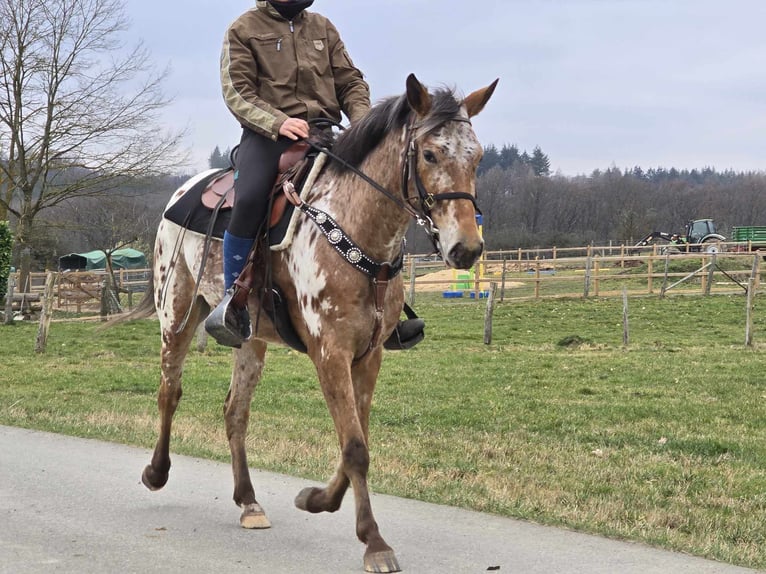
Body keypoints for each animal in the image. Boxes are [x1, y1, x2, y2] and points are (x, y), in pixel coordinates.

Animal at [136, 74, 498, 572]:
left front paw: (315, 499)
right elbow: (355, 448)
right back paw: (156, 472)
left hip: (250, 339)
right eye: (429, 154)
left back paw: (248, 501)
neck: (356, 227)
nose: (466, 248)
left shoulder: (369, 355)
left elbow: (356, 439)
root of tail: (183, 191)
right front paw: (374, 543)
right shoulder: (330, 352)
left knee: (235, 411)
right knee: (169, 390)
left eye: (476, 156)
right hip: (177, 312)